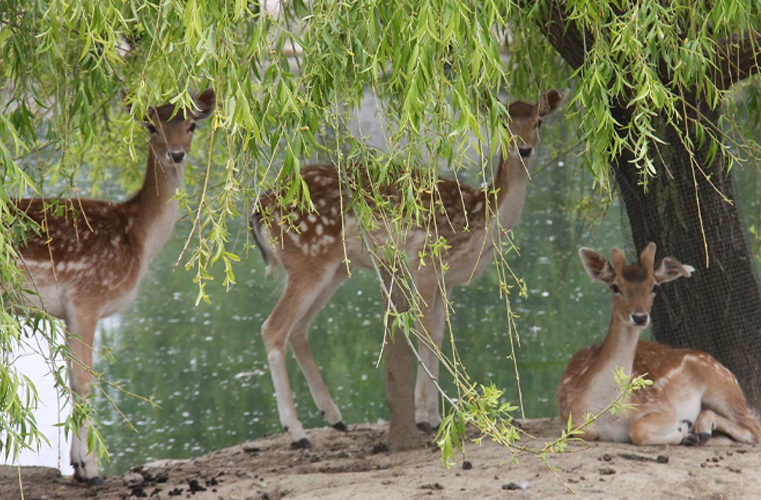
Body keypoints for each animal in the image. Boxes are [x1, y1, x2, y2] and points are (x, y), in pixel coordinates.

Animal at [9, 89, 214, 484]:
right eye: (151, 125)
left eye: (191, 126)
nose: (176, 153)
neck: (137, 237)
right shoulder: (88, 295)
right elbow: (84, 380)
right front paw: (91, 468)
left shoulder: (69, 311)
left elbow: (73, 379)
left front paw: (77, 464)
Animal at [252, 89, 568, 446]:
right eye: (503, 122)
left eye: (538, 121)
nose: (524, 148)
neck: (480, 220)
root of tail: (260, 207)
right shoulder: (426, 263)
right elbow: (426, 333)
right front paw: (424, 418)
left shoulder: (447, 280)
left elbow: (440, 336)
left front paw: (435, 416)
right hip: (307, 259)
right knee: (273, 328)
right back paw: (296, 432)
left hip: (333, 269)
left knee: (298, 329)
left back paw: (334, 418)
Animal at [560, 242, 760, 446]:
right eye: (615, 287)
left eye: (654, 287)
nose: (640, 317)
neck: (610, 412)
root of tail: (729, 372)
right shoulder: (569, 415)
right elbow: (585, 431)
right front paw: (686, 431)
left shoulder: (662, 407)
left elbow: (637, 429)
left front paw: (682, 428)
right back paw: (700, 431)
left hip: (722, 388)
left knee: (753, 426)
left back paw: (699, 429)